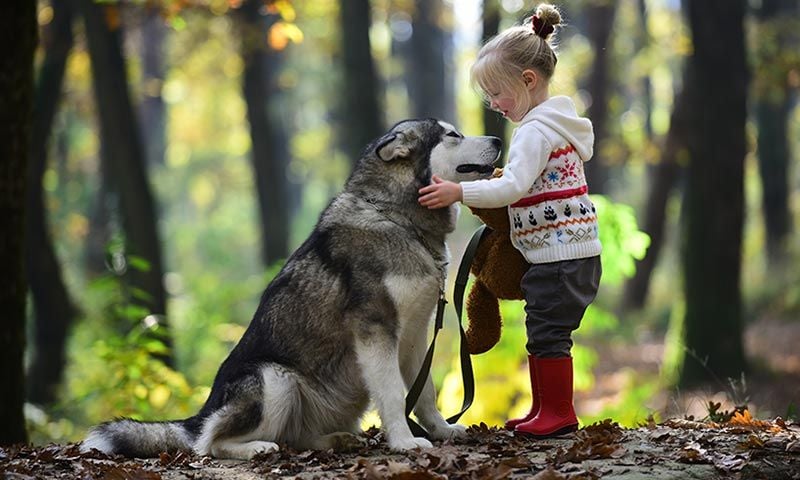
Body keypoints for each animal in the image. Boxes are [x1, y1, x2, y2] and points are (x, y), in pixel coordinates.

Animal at [79, 118, 500, 460]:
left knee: (294, 437)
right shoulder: (376, 330)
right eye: (453, 135)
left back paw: (334, 440)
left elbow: (424, 392)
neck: (398, 219)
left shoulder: (413, 334)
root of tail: (201, 412)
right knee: (209, 444)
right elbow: (396, 393)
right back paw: (256, 448)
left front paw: (442, 430)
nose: (497, 137)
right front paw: (404, 442)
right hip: (274, 380)